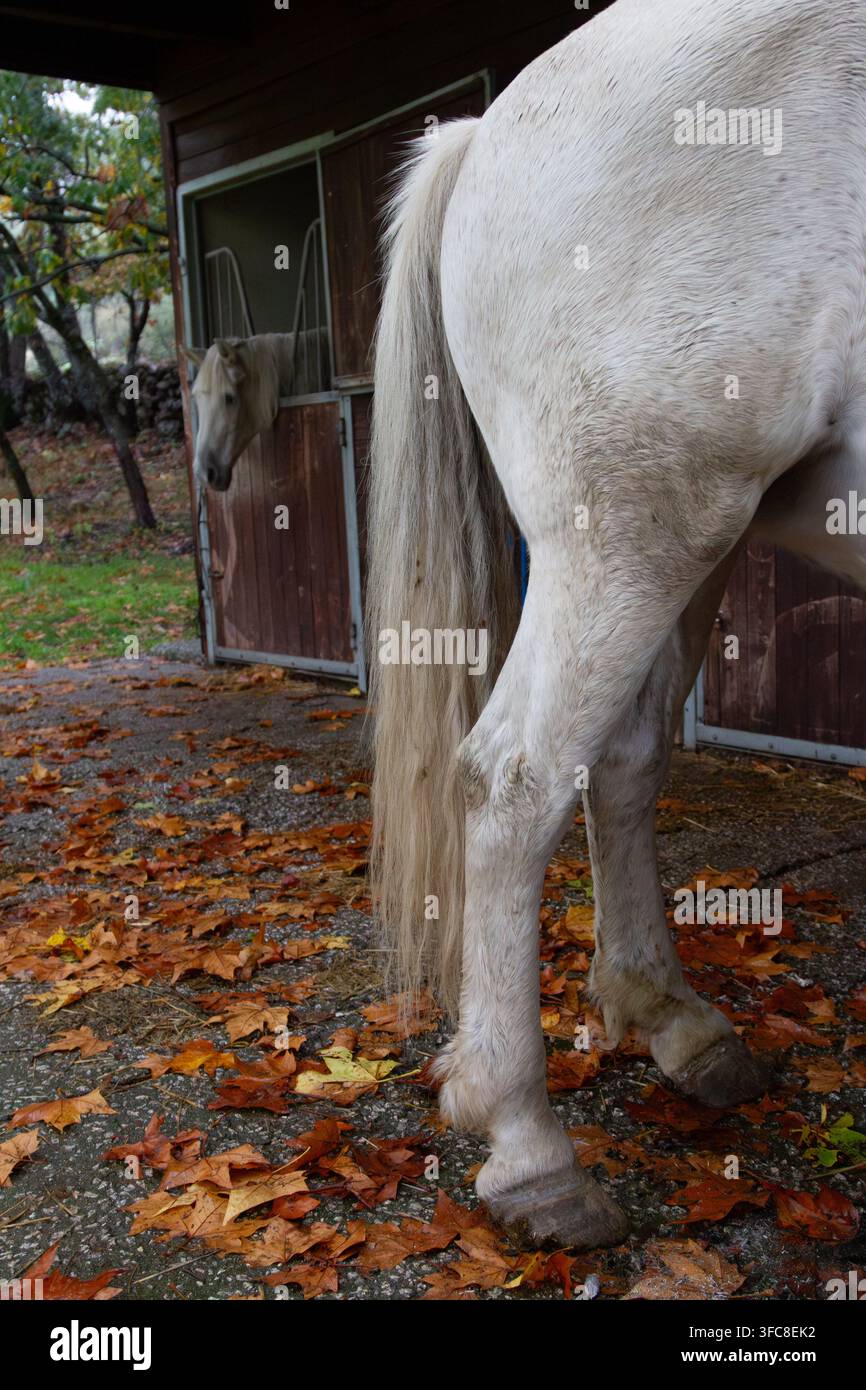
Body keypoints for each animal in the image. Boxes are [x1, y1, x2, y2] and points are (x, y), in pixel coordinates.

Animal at [368, 0, 866, 1250]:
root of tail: (486, 132)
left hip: (691, 540)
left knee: (624, 759)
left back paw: (668, 1016)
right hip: (634, 531)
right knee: (512, 783)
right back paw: (527, 1147)